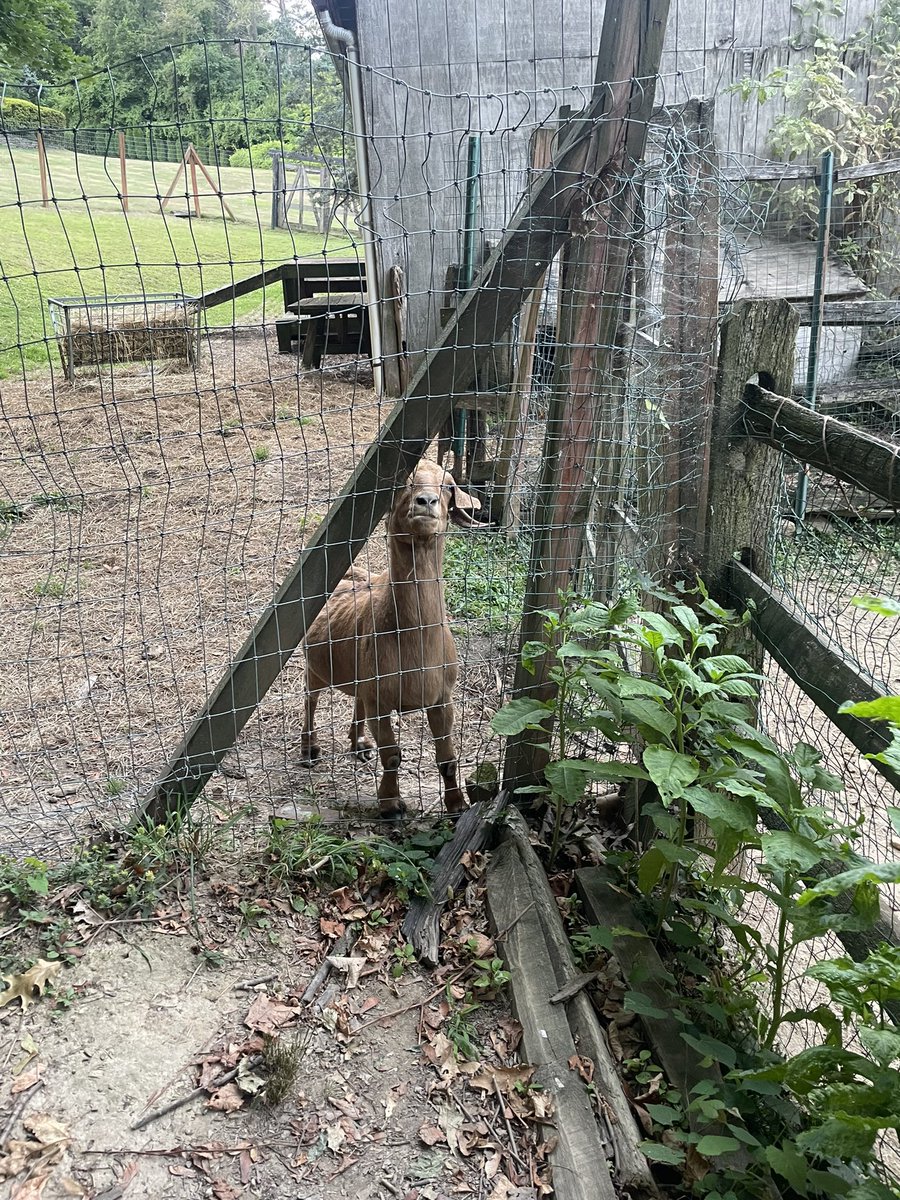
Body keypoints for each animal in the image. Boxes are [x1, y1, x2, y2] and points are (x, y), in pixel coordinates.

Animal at [299, 461, 481, 818]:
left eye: (449, 486)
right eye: (402, 481)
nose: (426, 502)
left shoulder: (441, 697)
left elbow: (448, 758)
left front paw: (456, 805)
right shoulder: (381, 702)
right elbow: (393, 755)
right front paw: (390, 805)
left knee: (356, 701)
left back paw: (359, 744)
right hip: (317, 667)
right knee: (311, 698)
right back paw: (310, 747)